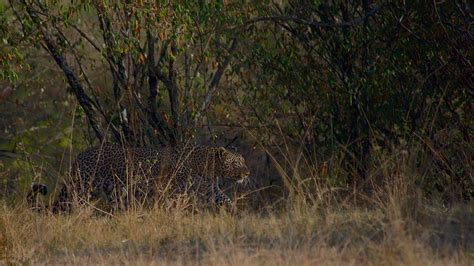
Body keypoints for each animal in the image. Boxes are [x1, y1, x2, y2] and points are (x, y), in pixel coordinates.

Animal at [28, 142, 252, 213]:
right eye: (236, 164)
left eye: (243, 161)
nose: (247, 173)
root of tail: (79, 156)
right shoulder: (181, 188)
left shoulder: (209, 188)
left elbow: (224, 198)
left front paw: (236, 212)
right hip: (82, 187)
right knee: (67, 206)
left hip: (109, 192)